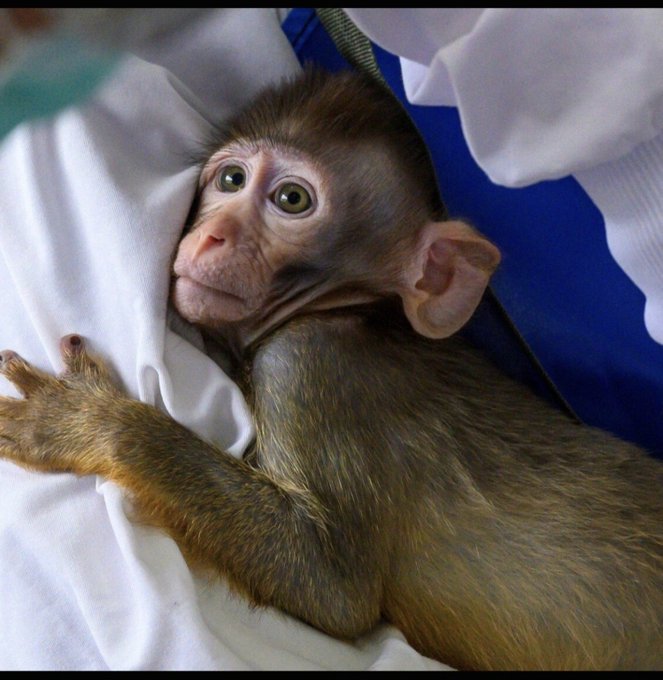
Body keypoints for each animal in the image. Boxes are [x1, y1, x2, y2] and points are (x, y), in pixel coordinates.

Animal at [0, 68, 660, 671]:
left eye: (291, 200)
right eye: (231, 179)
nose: (210, 237)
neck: (349, 311)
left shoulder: (307, 365)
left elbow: (330, 585)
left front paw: (83, 420)